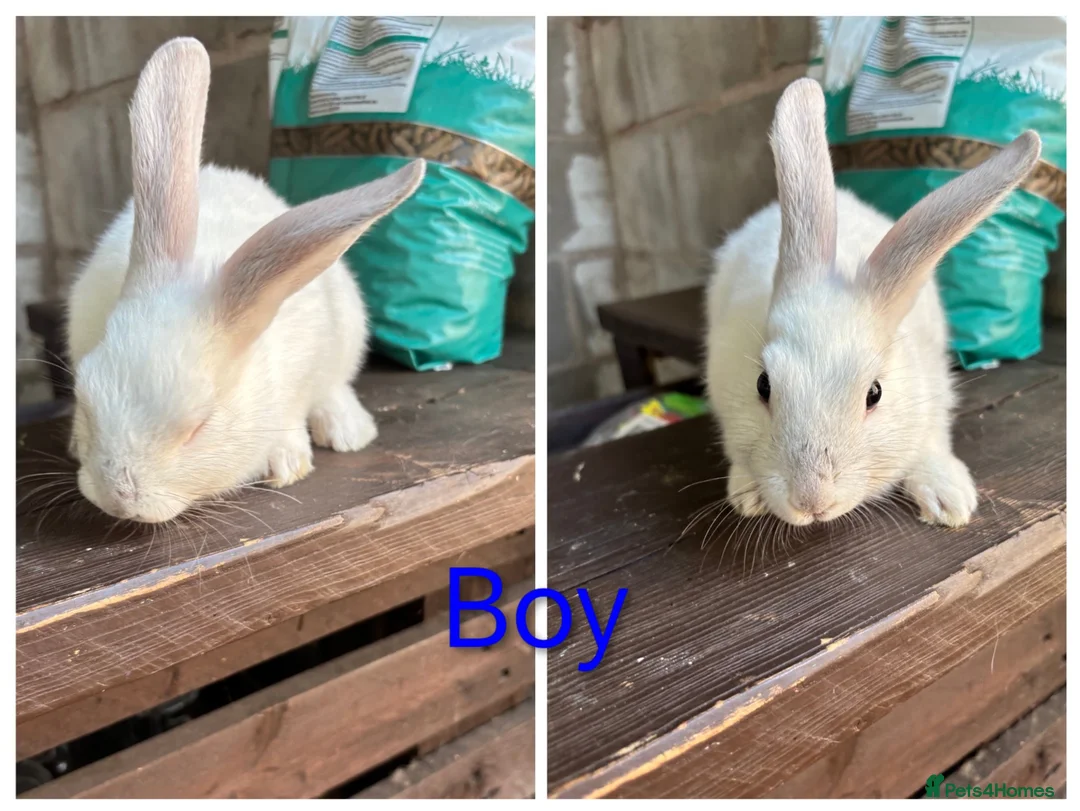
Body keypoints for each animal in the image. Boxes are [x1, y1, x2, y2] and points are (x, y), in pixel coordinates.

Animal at [704, 78, 1040, 528]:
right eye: (763, 384)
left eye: (875, 394)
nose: (811, 501)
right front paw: (747, 494)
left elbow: (931, 442)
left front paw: (949, 501)